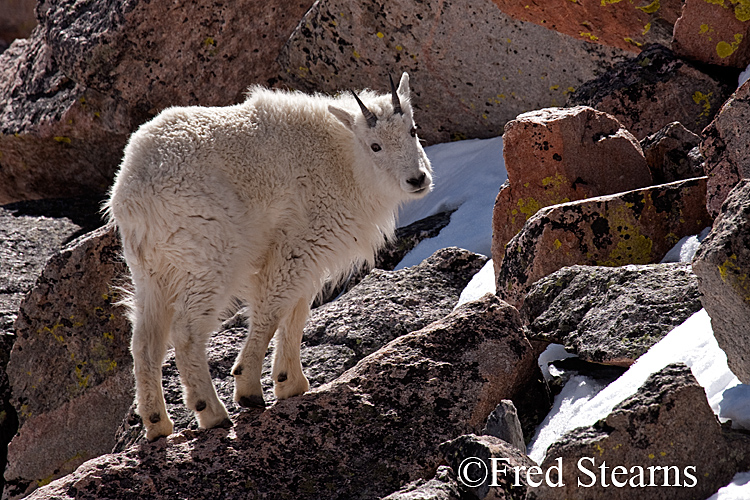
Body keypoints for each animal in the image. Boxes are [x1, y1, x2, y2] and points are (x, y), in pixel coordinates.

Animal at [107, 72, 434, 440]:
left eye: (412, 130)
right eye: (375, 146)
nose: (417, 179)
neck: (345, 159)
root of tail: (132, 194)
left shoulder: (309, 255)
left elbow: (297, 311)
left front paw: (289, 383)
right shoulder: (300, 243)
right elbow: (273, 309)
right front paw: (250, 388)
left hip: (151, 269)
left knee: (145, 343)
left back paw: (157, 422)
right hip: (211, 256)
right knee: (186, 332)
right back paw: (212, 412)